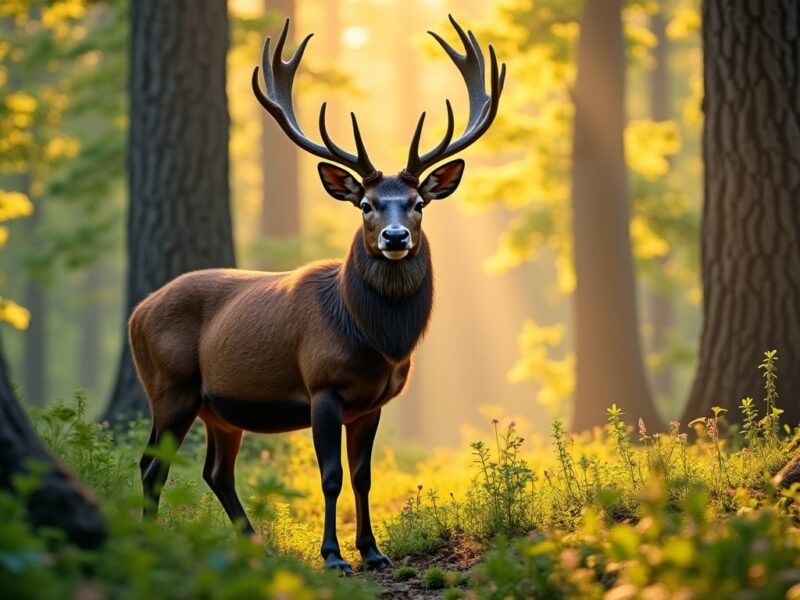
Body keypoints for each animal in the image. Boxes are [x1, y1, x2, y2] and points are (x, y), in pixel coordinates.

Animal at [133, 15, 504, 575]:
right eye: (366, 204)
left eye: (418, 203)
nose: (396, 237)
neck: (376, 340)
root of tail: (136, 313)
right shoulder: (322, 386)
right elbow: (329, 476)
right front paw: (333, 557)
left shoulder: (372, 402)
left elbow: (363, 476)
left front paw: (373, 551)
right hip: (169, 385)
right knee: (151, 464)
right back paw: (152, 545)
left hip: (217, 408)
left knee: (215, 471)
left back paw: (254, 544)